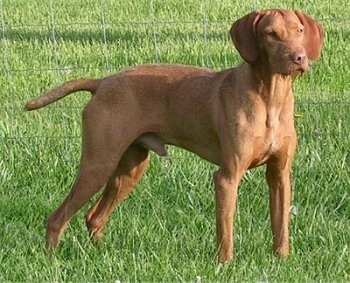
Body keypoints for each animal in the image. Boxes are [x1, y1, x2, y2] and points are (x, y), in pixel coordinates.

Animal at [26, 8, 324, 262]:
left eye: (299, 30)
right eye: (271, 34)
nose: (299, 58)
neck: (270, 98)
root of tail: (102, 82)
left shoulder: (280, 174)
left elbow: (281, 226)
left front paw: (282, 260)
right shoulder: (227, 177)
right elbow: (225, 230)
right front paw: (225, 264)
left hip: (130, 168)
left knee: (94, 217)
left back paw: (102, 254)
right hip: (98, 164)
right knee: (57, 218)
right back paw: (51, 261)